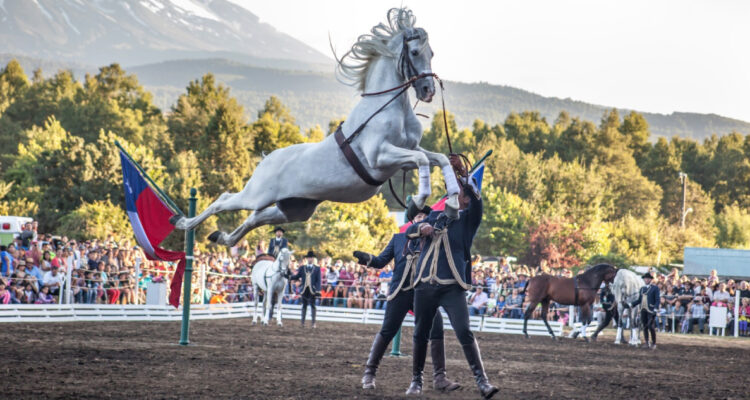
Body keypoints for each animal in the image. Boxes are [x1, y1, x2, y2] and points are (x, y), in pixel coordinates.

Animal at [171, 7, 461, 246]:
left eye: (432, 53)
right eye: (415, 52)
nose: (428, 90)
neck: (388, 106)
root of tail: (268, 159)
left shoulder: (407, 153)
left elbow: (440, 159)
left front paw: (453, 203)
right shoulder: (381, 157)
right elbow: (423, 161)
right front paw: (416, 205)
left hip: (293, 209)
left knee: (253, 220)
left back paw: (222, 237)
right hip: (256, 194)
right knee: (223, 200)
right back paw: (184, 222)